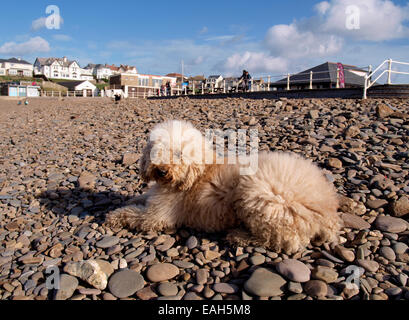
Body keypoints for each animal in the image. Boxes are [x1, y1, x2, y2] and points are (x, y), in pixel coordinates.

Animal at [106, 119, 342, 254]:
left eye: (179, 154)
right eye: (158, 150)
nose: (162, 171)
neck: (195, 173)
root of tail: (328, 209)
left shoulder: (157, 216)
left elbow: (132, 214)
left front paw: (113, 215)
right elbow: (140, 198)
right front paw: (131, 198)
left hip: (262, 195)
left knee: (281, 240)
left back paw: (239, 236)